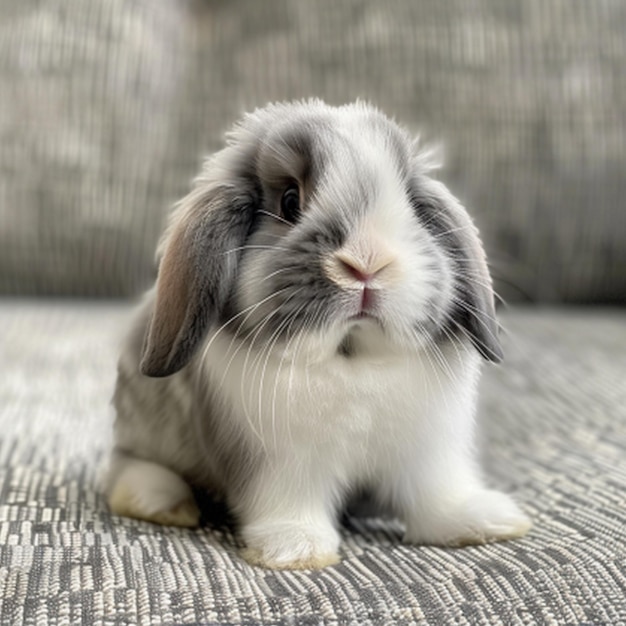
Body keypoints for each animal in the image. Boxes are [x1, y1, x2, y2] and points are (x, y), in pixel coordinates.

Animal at [105, 98, 528, 572]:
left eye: (412, 205)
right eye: (290, 201)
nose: (368, 263)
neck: (352, 357)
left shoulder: (428, 453)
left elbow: (435, 495)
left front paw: (481, 522)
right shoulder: (278, 464)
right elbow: (288, 504)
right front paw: (296, 549)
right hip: (143, 435)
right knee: (124, 467)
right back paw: (161, 503)